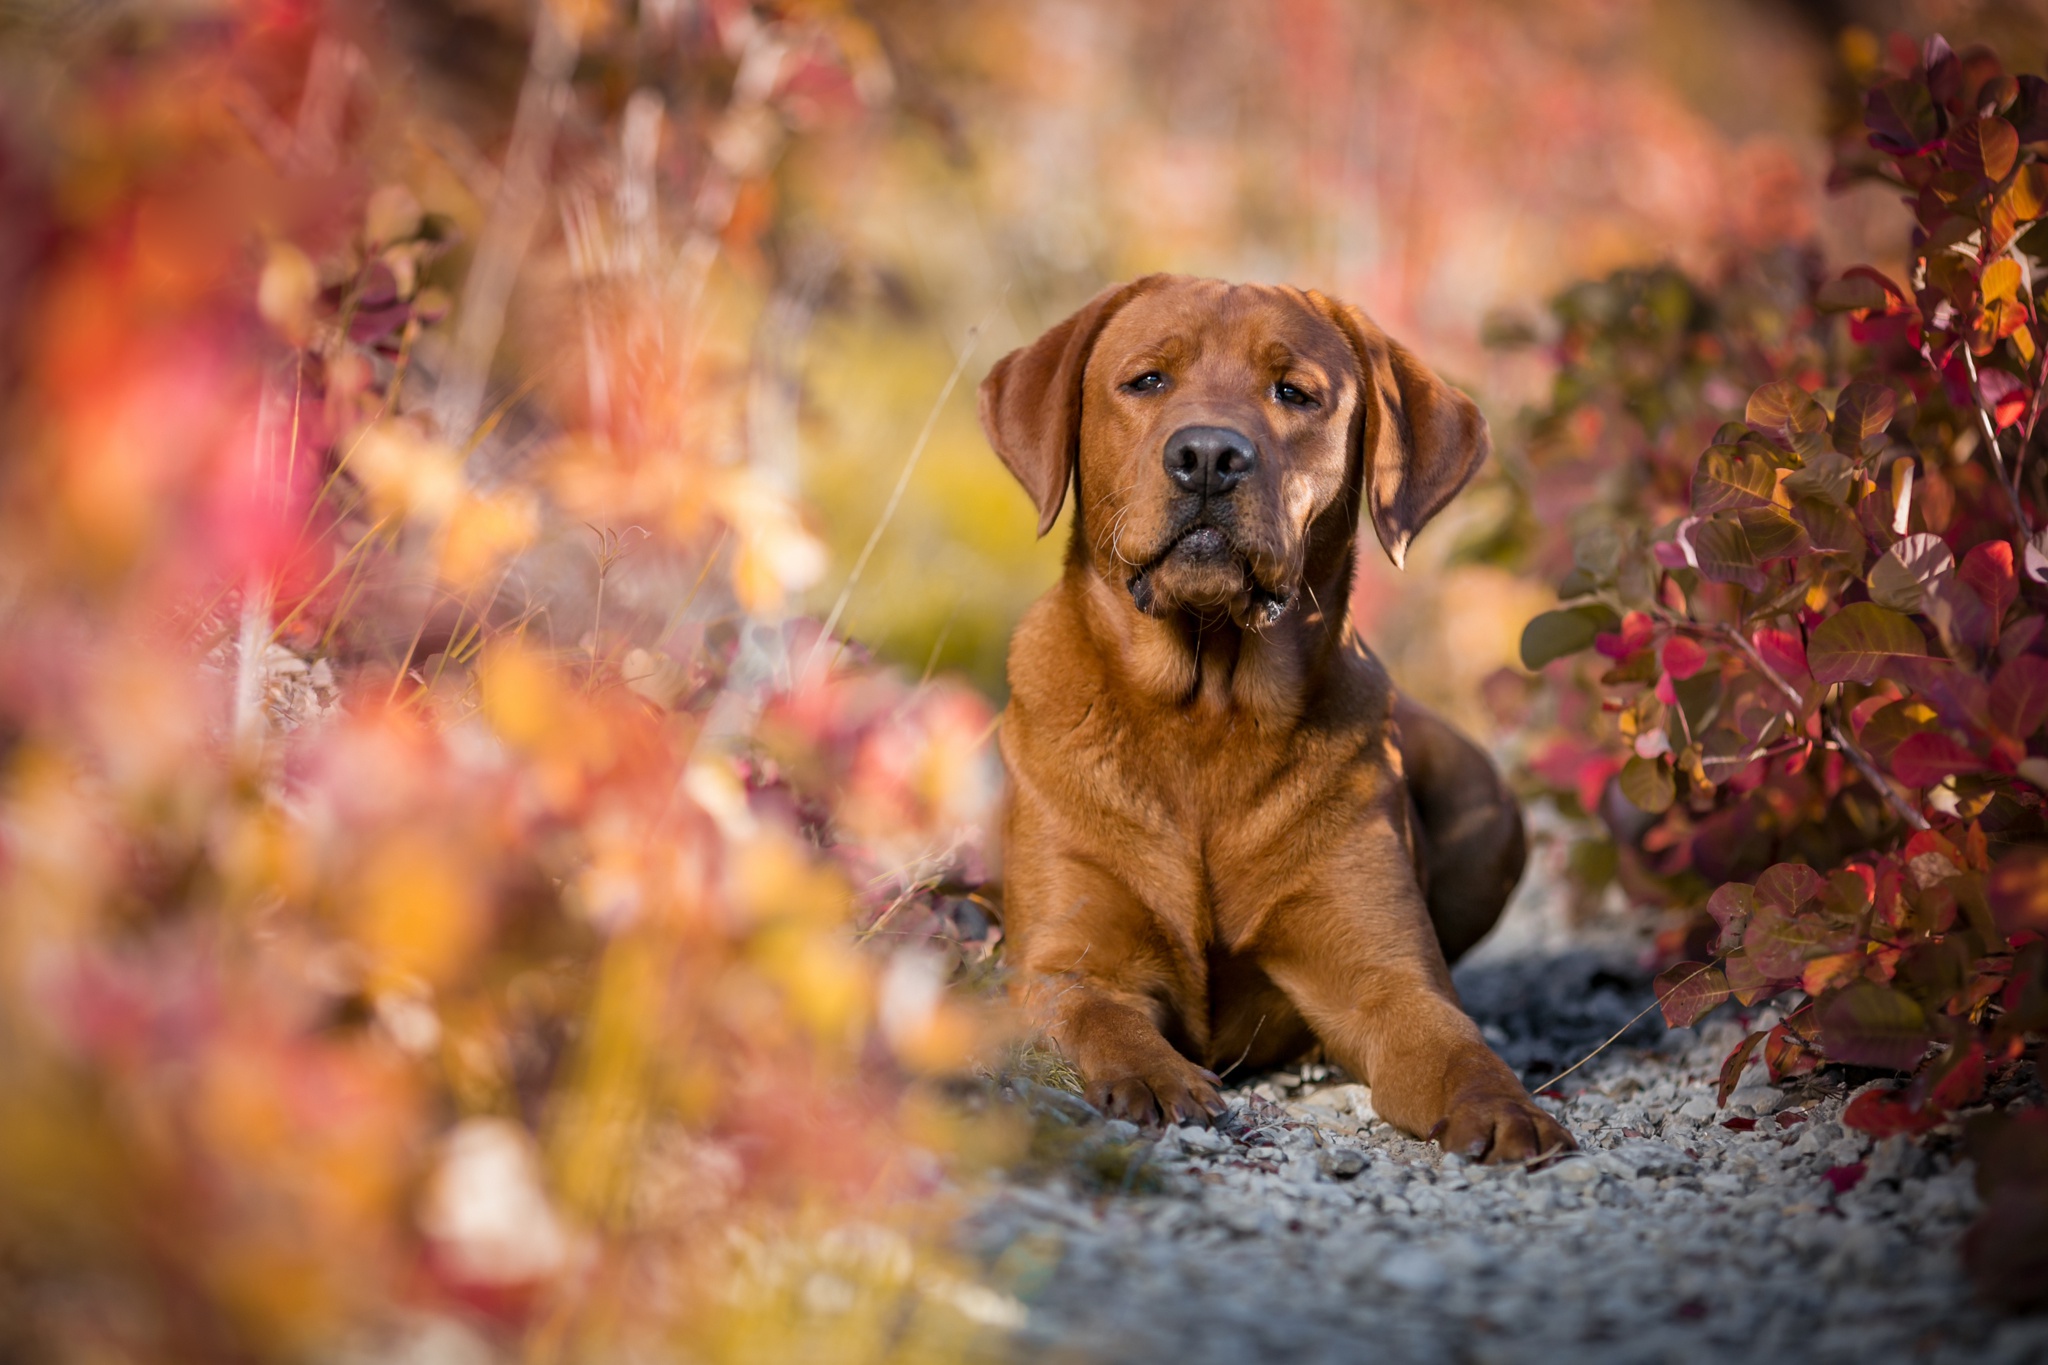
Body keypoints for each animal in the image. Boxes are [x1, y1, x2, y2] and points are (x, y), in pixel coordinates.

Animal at [974, 274, 1564, 1162]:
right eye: (1147, 380)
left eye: (1294, 393)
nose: (1208, 456)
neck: (1205, 711)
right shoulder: (1063, 967)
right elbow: (1101, 1017)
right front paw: (1156, 1075)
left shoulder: (1389, 978)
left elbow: (1457, 1042)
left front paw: (1504, 1104)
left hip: (1490, 805)